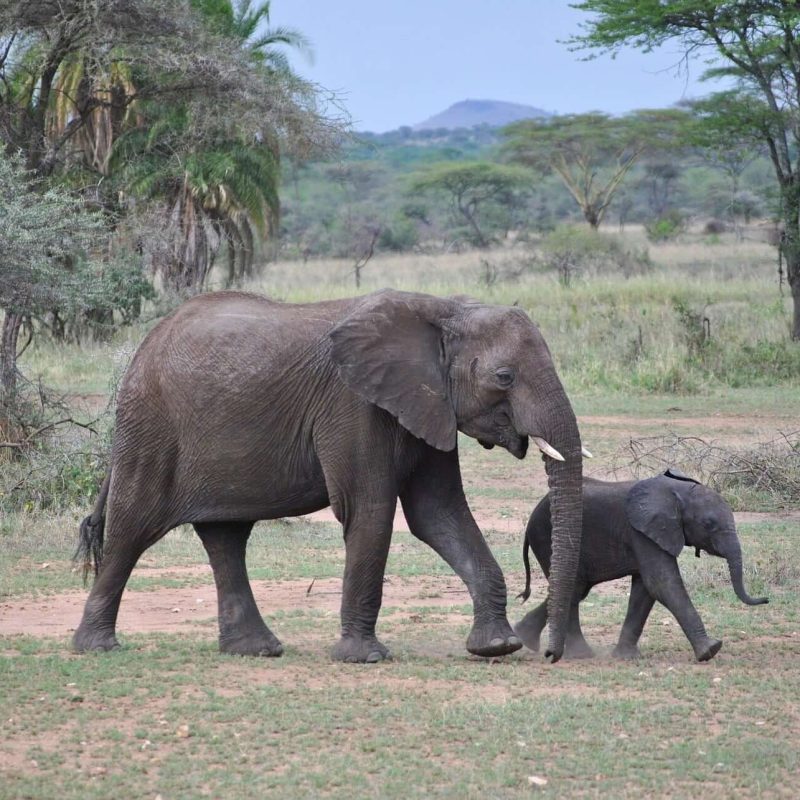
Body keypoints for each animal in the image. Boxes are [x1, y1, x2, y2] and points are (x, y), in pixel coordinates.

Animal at [72, 289, 585, 663]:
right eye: (504, 377)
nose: (551, 655)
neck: (443, 308)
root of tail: (145, 345)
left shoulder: (427, 405)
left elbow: (438, 514)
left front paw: (496, 647)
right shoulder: (354, 405)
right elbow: (370, 511)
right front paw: (364, 658)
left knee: (226, 537)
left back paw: (256, 650)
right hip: (151, 425)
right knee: (132, 528)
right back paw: (96, 648)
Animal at [515, 470, 768, 662]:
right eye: (709, 524)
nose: (765, 599)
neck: (676, 491)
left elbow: (645, 590)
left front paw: (626, 657)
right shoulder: (641, 531)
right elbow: (661, 583)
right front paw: (711, 650)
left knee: (576, 590)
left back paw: (527, 639)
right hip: (546, 537)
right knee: (574, 589)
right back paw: (577, 654)